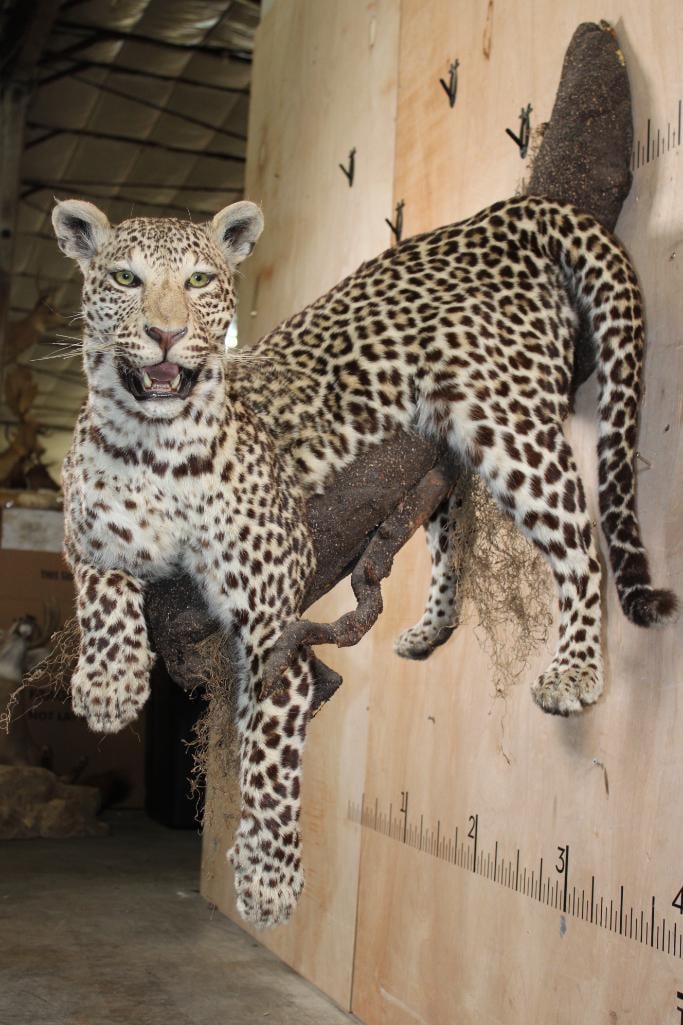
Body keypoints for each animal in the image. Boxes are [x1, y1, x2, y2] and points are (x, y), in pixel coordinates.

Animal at [52, 192, 676, 930]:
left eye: (200, 280)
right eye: (125, 279)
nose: (167, 334)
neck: (153, 443)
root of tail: (501, 213)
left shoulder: (274, 617)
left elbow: (270, 755)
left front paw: (269, 879)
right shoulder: (84, 530)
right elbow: (100, 583)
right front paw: (109, 682)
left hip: (508, 423)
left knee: (580, 540)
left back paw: (574, 669)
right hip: (441, 441)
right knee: (446, 515)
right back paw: (430, 626)